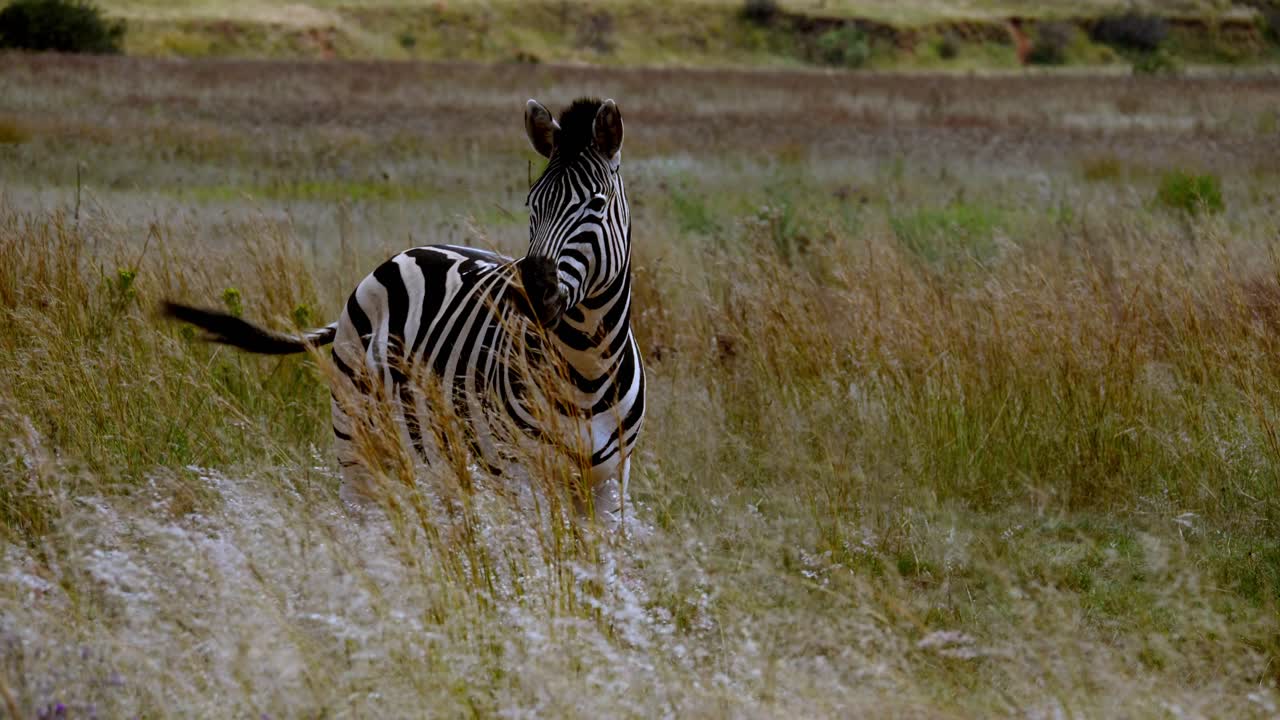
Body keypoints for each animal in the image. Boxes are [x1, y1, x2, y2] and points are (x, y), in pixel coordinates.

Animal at [163, 97, 644, 524]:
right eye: (533, 203)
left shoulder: (610, 485)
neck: (585, 368)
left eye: (597, 204)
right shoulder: (522, 473)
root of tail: (403, 254)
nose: (530, 292)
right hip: (356, 441)